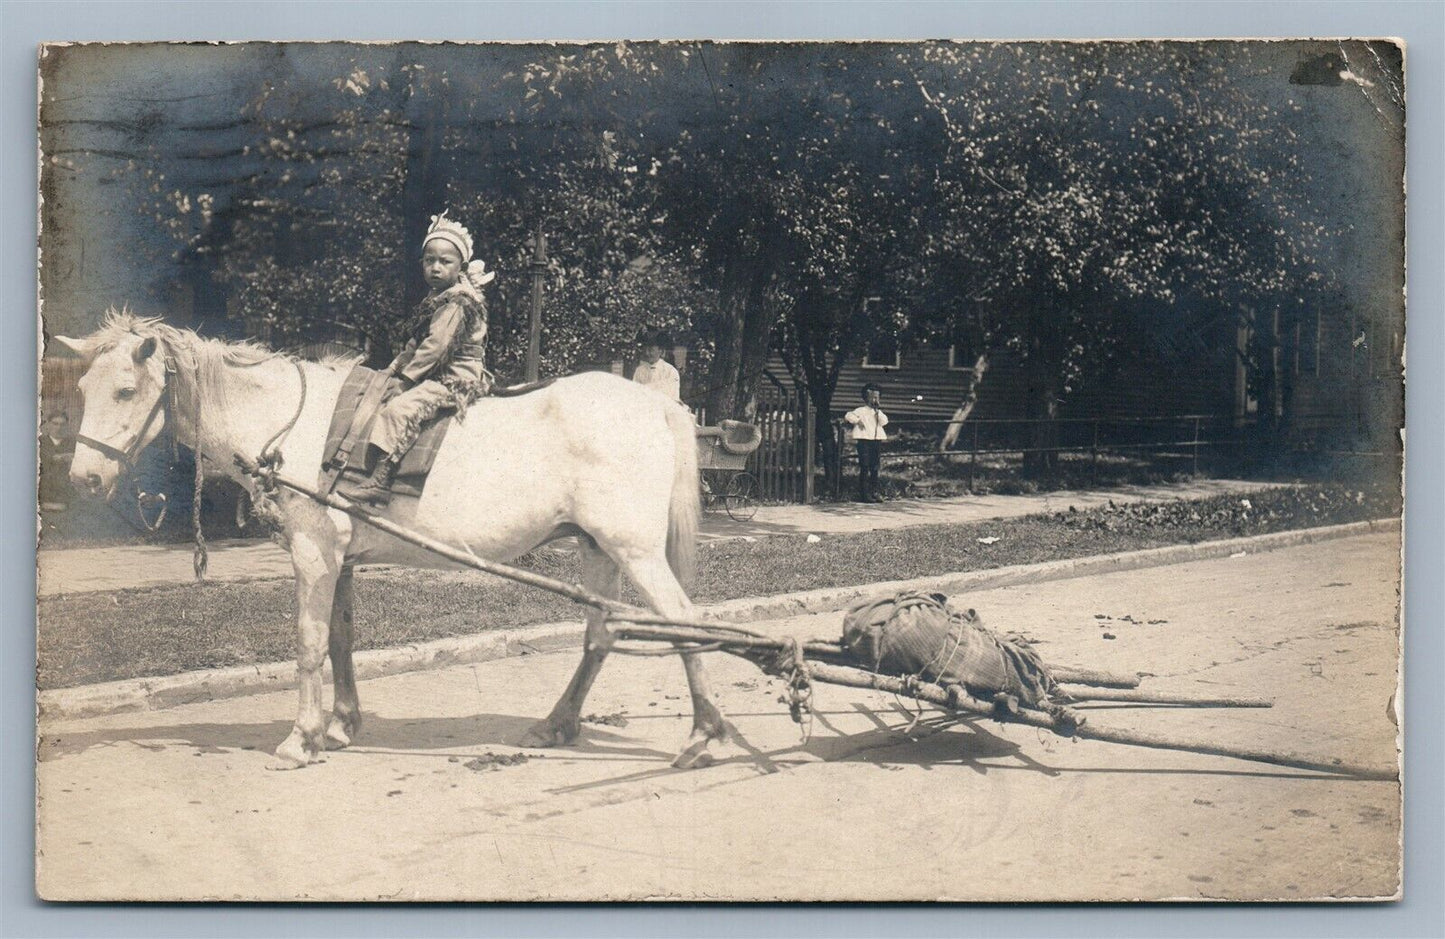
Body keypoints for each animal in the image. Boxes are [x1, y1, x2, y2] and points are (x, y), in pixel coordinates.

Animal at [56, 310, 728, 762]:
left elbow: (308, 643)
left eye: (125, 390)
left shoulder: (314, 553)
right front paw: (339, 725)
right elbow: (340, 641)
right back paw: (557, 724)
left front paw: (301, 738)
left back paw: (704, 733)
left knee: (684, 623)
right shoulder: (342, 559)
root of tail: (655, 403)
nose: (84, 478)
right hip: (598, 549)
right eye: (82, 389)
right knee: (600, 635)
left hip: (634, 551)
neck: (287, 423)